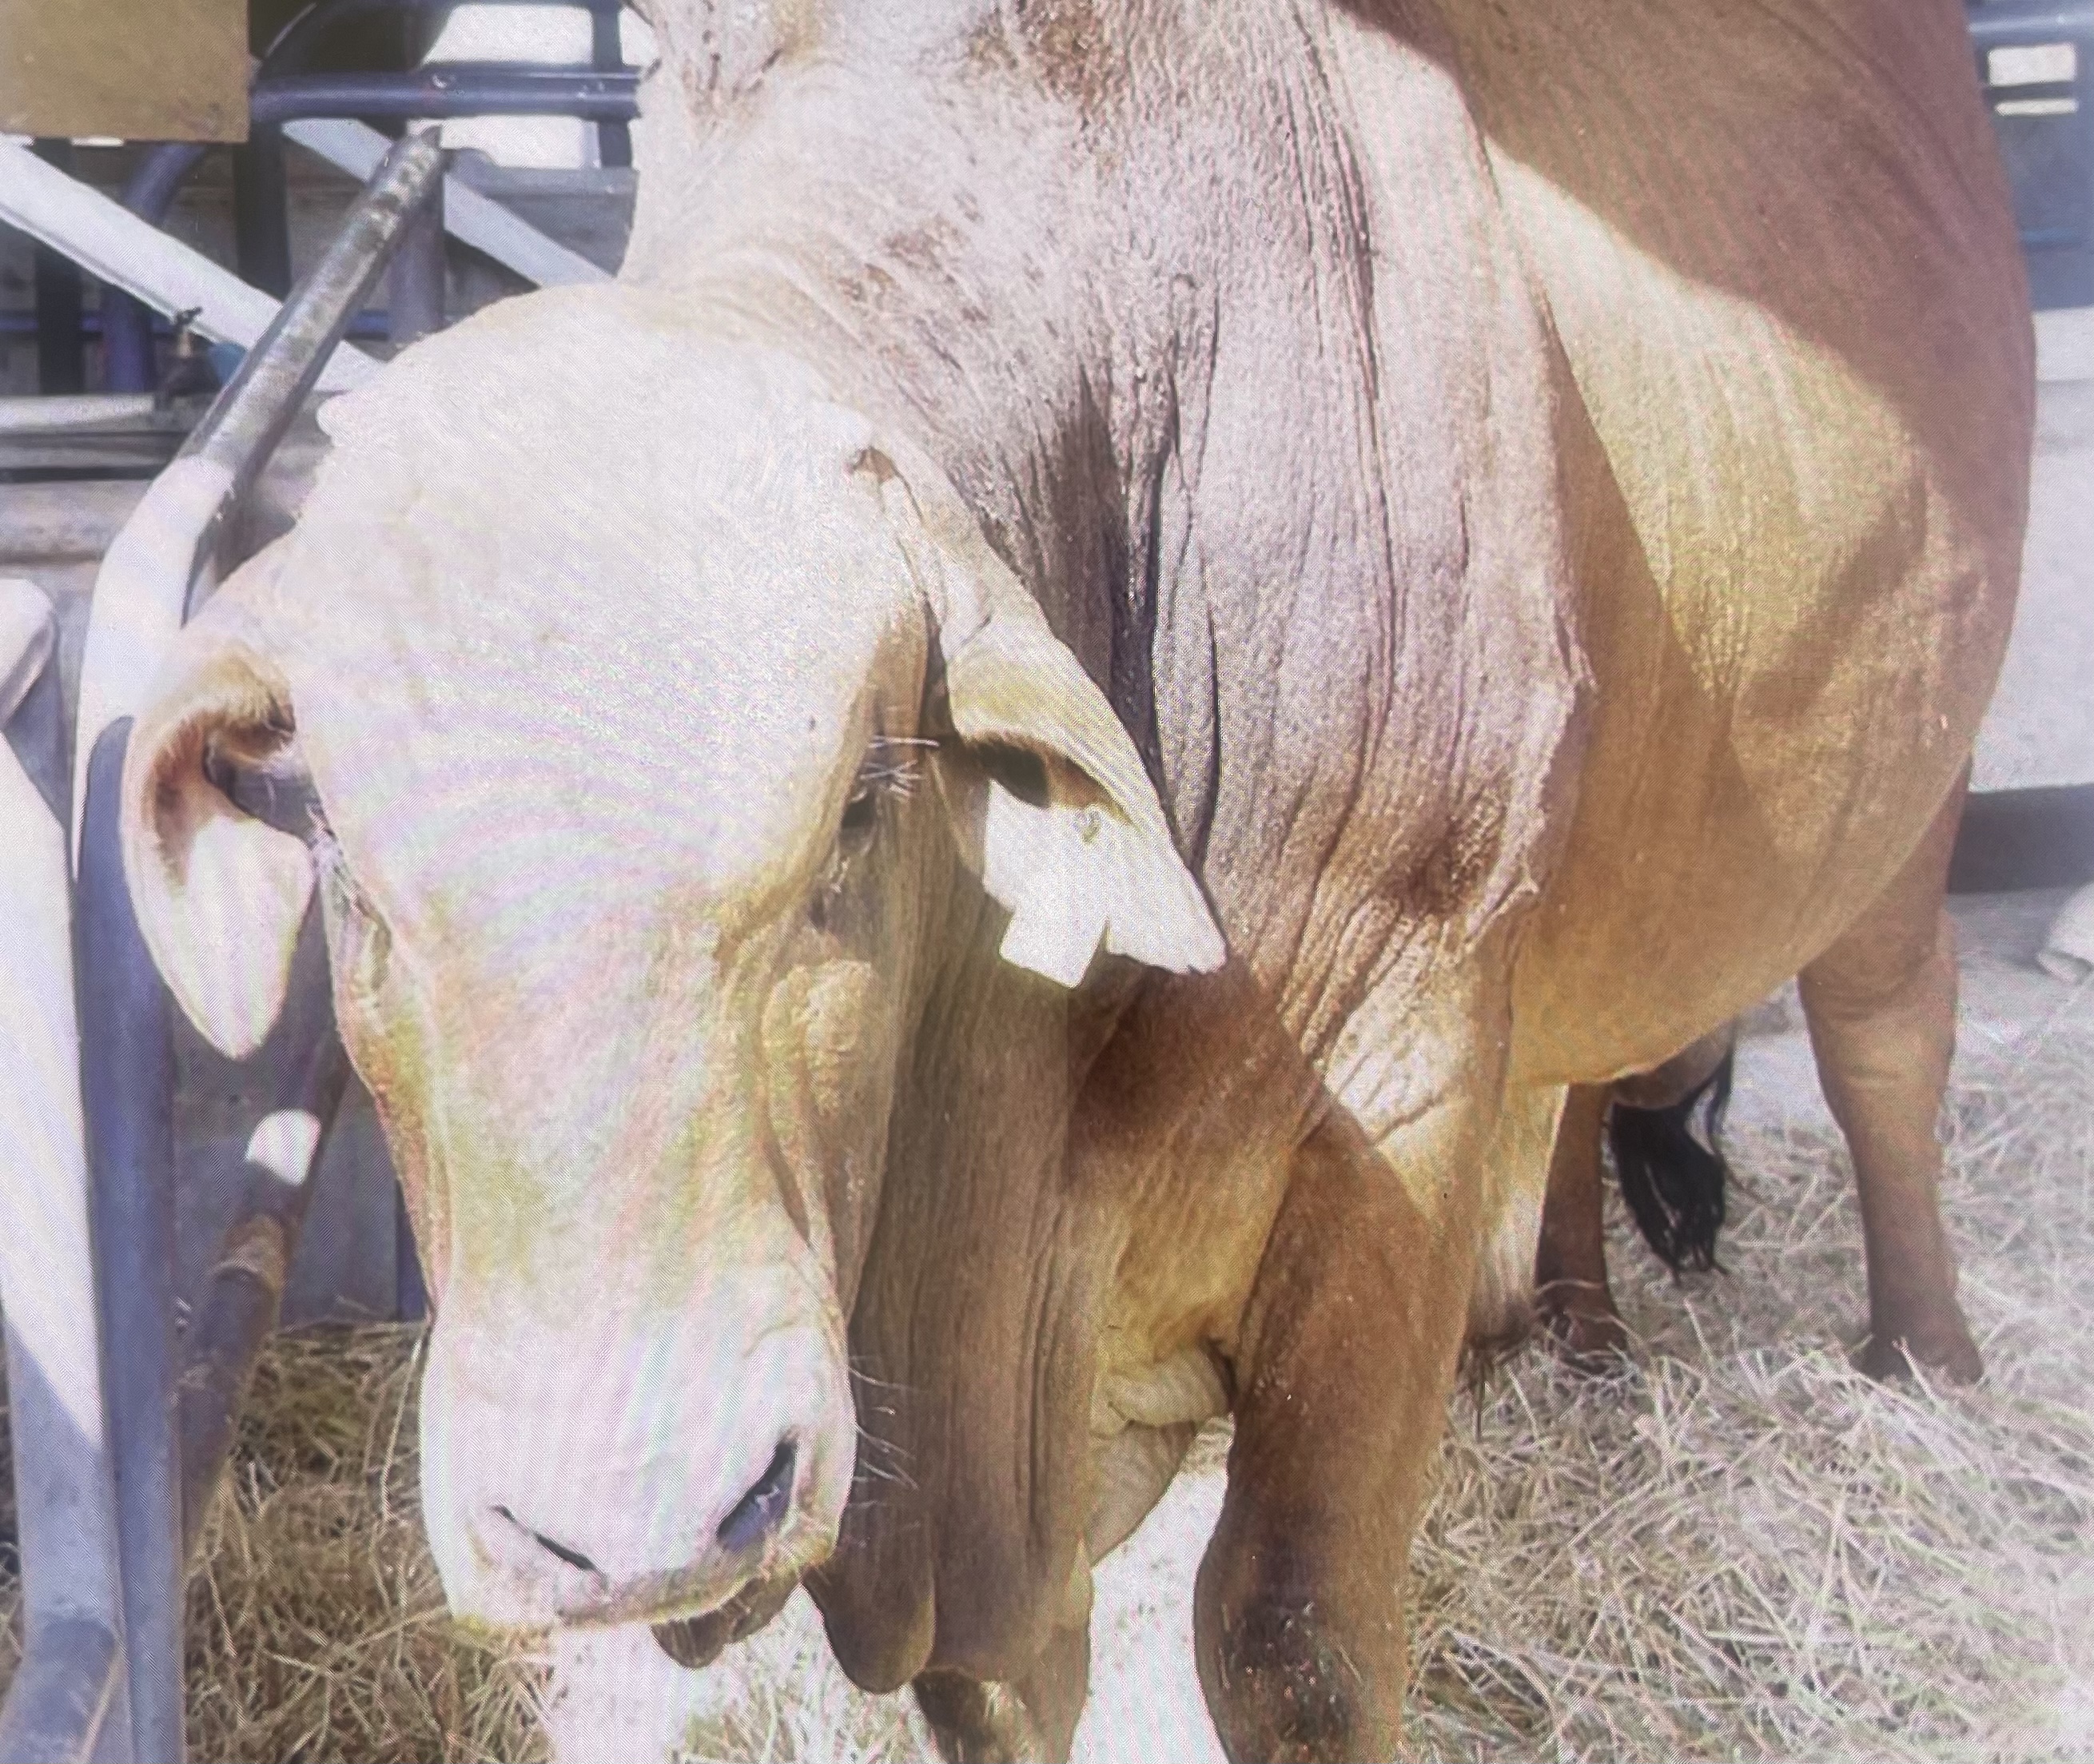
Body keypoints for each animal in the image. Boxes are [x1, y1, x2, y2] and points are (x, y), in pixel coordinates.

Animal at [117, 1, 2030, 1757]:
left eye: (858, 807)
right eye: (341, 856)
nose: (629, 1516)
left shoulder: (1401, 1106)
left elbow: (1290, 1639)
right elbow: (999, 1673)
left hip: (1905, 791)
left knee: (1881, 1040)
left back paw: (1923, 1358)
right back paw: (1575, 1331)